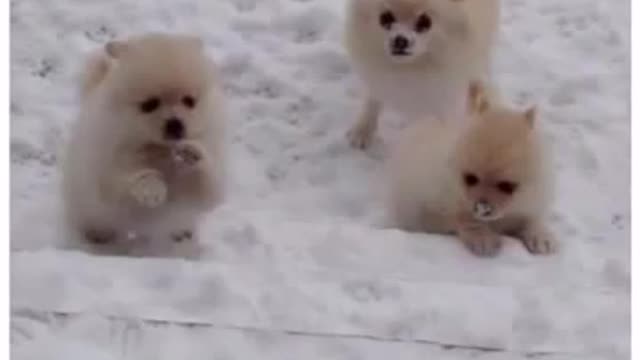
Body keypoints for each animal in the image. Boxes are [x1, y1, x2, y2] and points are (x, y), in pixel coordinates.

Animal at [64, 33, 225, 253]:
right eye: (149, 105)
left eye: (189, 101)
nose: (175, 124)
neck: (161, 149)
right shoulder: (111, 167)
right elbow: (133, 175)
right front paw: (153, 191)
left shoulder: (206, 178)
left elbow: (208, 186)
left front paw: (193, 152)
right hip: (88, 204)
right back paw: (97, 236)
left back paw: (182, 234)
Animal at [344, 0, 500, 149]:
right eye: (385, 18)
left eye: (425, 21)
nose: (400, 40)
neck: (412, 68)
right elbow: (373, 100)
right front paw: (362, 131)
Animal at [384, 82, 556, 256]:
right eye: (470, 178)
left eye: (507, 186)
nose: (482, 208)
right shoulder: (425, 207)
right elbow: (461, 217)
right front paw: (482, 237)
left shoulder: (531, 200)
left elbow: (532, 219)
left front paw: (541, 236)